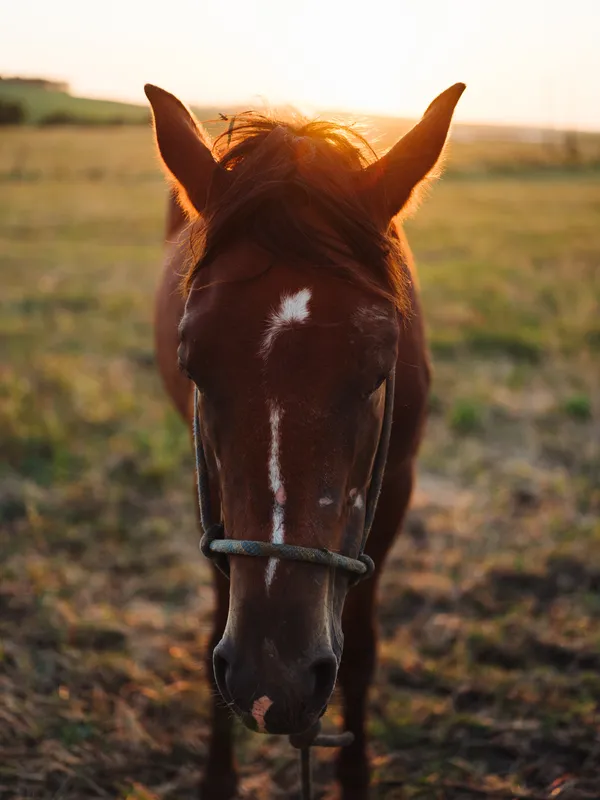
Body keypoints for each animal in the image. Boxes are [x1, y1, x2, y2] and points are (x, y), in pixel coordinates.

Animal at [145, 81, 464, 799]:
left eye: (379, 366)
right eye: (192, 364)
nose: (274, 683)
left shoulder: (395, 486)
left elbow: (364, 647)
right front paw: (218, 775)